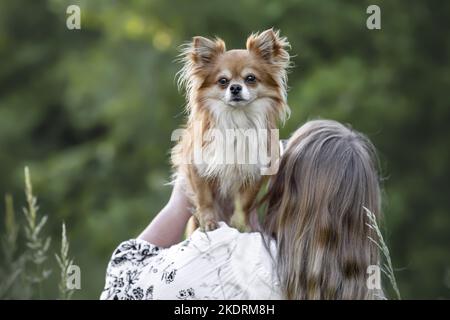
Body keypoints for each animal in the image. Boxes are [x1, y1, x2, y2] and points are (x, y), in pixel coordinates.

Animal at [172, 28, 292, 231]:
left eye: (250, 78)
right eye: (223, 81)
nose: (235, 87)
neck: (237, 119)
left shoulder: (254, 170)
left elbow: (244, 202)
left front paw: (240, 226)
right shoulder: (197, 165)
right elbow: (204, 199)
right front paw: (209, 222)